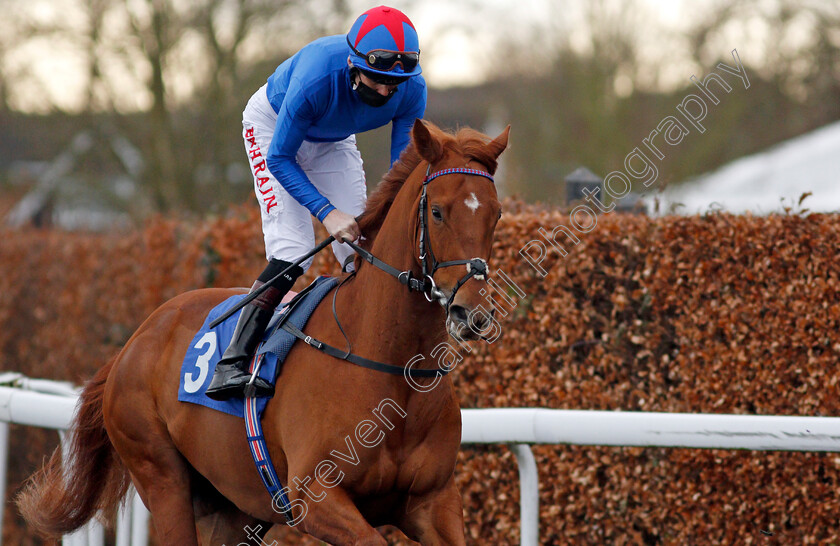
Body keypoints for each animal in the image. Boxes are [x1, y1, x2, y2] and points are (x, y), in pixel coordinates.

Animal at [18, 120, 506, 544]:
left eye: (497, 214)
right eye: (438, 212)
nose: (473, 314)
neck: (388, 361)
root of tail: (132, 343)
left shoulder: (433, 501)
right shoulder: (315, 497)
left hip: (233, 506)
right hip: (160, 474)